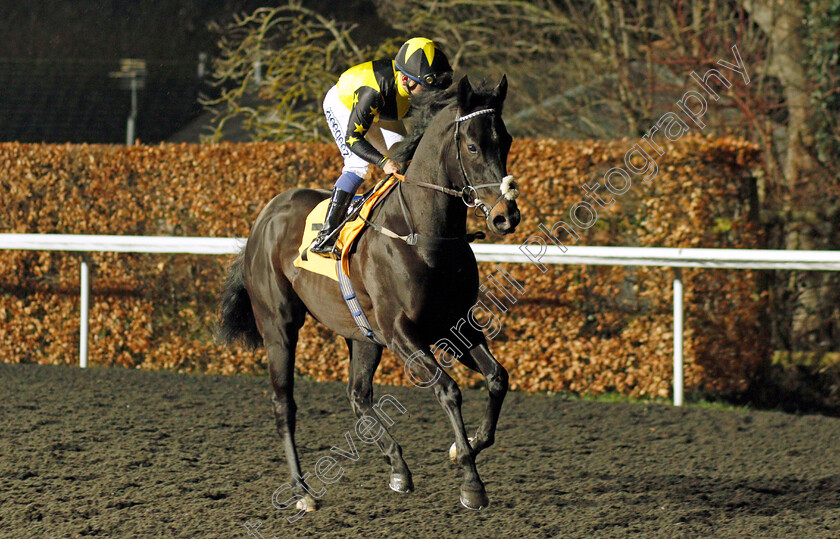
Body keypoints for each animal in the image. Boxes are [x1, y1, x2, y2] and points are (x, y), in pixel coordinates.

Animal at [218, 75, 520, 510]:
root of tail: (265, 217)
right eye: (473, 146)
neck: (423, 234)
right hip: (278, 325)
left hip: (362, 335)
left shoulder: (455, 323)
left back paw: (398, 469)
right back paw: (301, 491)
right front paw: (471, 482)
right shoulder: (401, 332)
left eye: (507, 140)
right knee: (283, 404)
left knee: (358, 395)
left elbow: (497, 378)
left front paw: (465, 448)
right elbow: (448, 390)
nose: (505, 216)